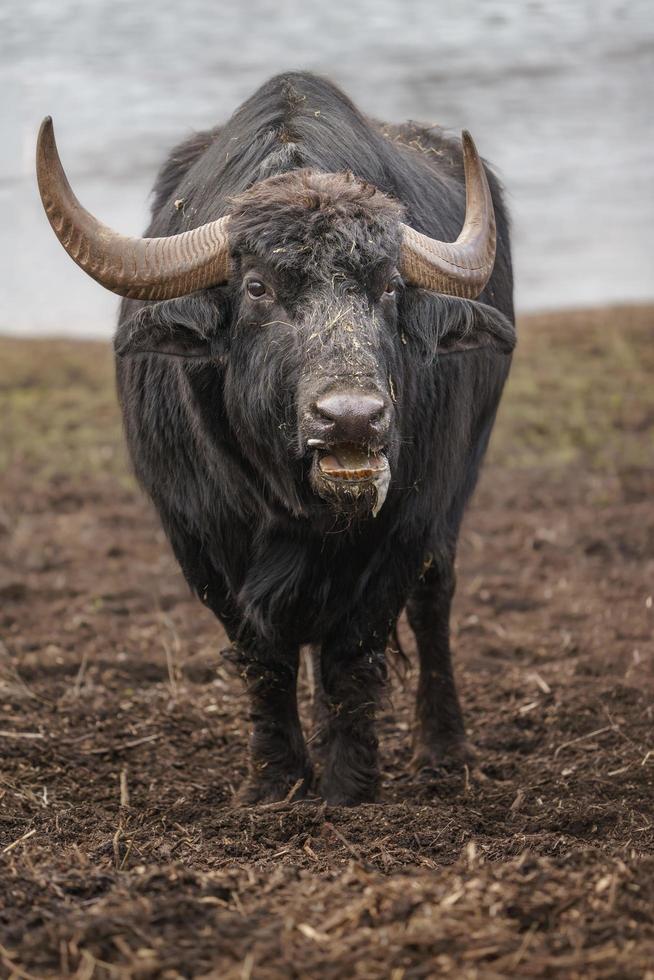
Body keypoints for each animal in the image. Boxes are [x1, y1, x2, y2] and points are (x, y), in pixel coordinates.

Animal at [36, 71, 516, 804]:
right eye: (258, 287)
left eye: (389, 287)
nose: (352, 418)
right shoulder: (200, 539)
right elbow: (264, 658)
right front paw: (277, 781)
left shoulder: (403, 527)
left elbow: (353, 654)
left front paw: (348, 785)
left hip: (456, 488)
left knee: (435, 599)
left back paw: (444, 747)